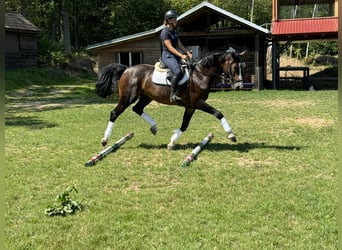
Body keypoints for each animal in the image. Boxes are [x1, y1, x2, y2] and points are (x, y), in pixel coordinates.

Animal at [96, 49, 244, 149]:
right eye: (235, 67)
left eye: (242, 67)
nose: (239, 86)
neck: (201, 74)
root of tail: (127, 69)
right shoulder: (198, 103)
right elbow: (218, 113)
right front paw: (231, 135)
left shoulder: (191, 106)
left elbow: (184, 124)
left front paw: (172, 141)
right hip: (128, 97)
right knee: (115, 113)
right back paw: (105, 139)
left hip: (146, 97)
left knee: (137, 109)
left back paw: (154, 127)